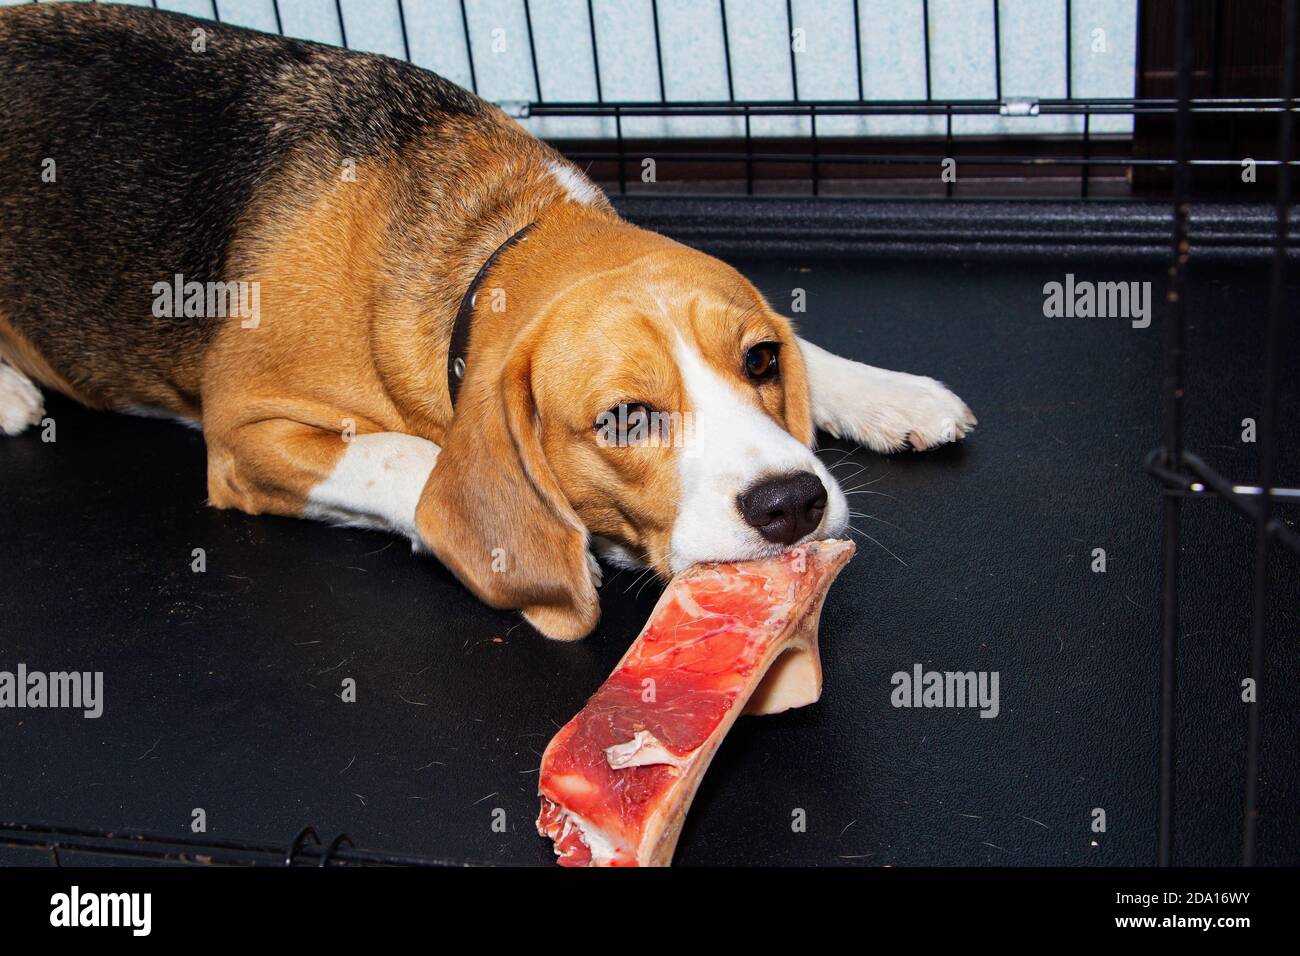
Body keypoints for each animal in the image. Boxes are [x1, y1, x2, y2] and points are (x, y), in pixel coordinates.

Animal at [0, 7, 977, 639]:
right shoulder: (243, 437)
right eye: (626, 419)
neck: (497, 235)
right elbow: (410, 458)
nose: (792, 503)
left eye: (764, 361)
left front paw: (890, 395)